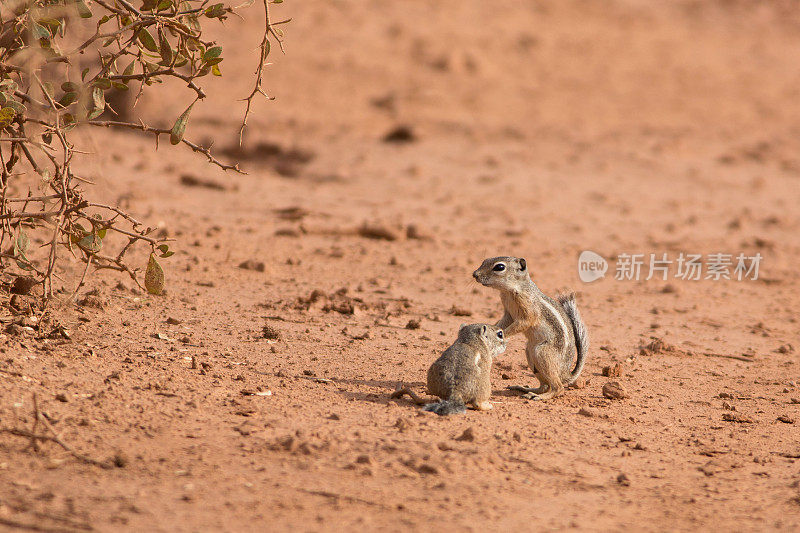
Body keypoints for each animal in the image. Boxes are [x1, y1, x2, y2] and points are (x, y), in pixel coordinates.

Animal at [476, 255, 588, 400]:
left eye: (499, 267)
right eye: (484, 261)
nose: (475, 275)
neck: (510, 291)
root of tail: (566, 373)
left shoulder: (528, 311)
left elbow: (524, 323)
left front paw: (503, 336)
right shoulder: (508, 314)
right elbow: (502, 322)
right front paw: (491, 330)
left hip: (542, 353)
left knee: (558, 387)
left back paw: (541, 397)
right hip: (530, 354)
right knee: (544, 386)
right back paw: (526, 390)